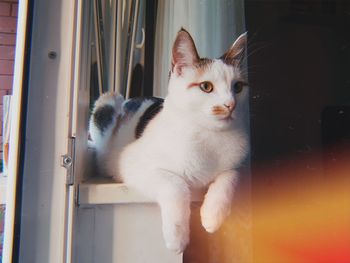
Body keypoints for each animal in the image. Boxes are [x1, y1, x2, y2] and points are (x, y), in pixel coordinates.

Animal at [89, 28, 250, 254]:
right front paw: (177, 237)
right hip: (108, 101)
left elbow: (231, 174)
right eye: (206, 87)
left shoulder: (243, 165)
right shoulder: (131, 162)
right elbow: (175, 184)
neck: (208, 135)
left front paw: (213, 214)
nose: (231, 104)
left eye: (238, 87)